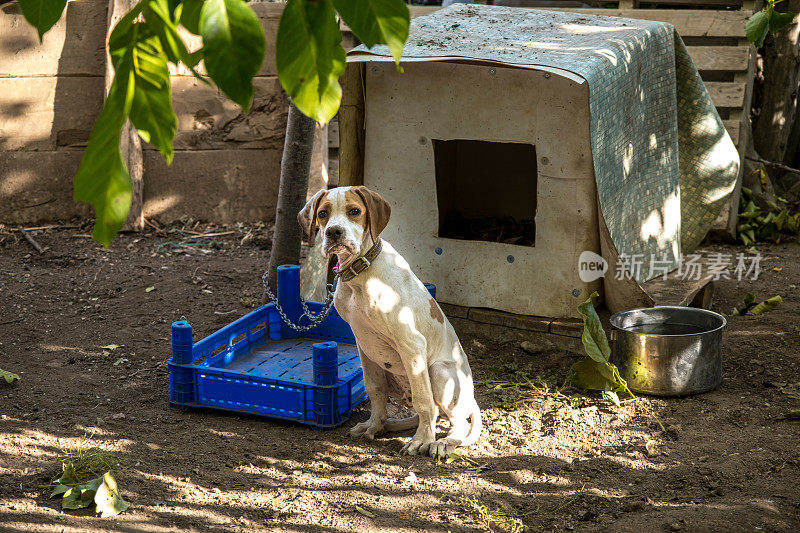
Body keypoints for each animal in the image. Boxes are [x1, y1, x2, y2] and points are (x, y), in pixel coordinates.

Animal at [296, 184, 478, 458]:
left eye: (354, 211)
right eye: (322, 214)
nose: (334, 232)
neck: (361, 273)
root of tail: (472, 397)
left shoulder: (411, 343)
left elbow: (424, 401)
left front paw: (422, 440)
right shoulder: (363, 344)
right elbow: (375, 391)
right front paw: (374, 425)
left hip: (438, 371)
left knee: (452, 418)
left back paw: (443, 442)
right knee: (428, 413)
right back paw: (389, 425)